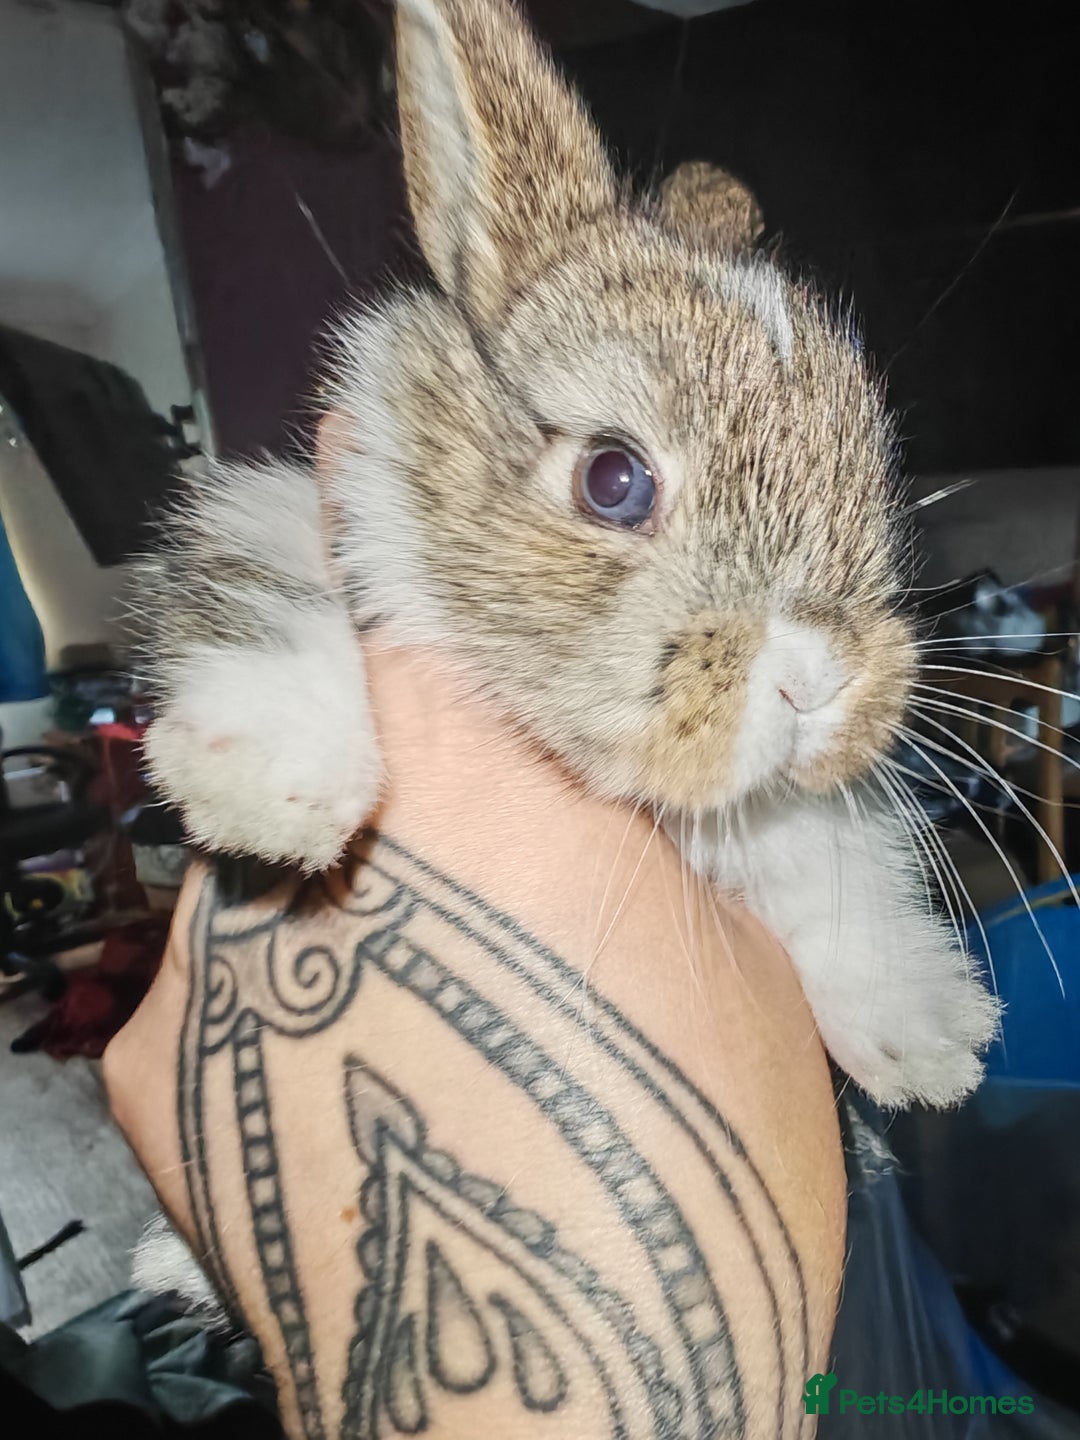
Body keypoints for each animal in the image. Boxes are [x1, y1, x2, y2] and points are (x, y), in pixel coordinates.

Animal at [140, 0, 999, 1110]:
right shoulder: (309, 511)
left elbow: (818, 851)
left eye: (876, 475)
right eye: (613, 479)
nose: (817, 683)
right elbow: (264, 582)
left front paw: (924, 1035)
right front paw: (274, 789)